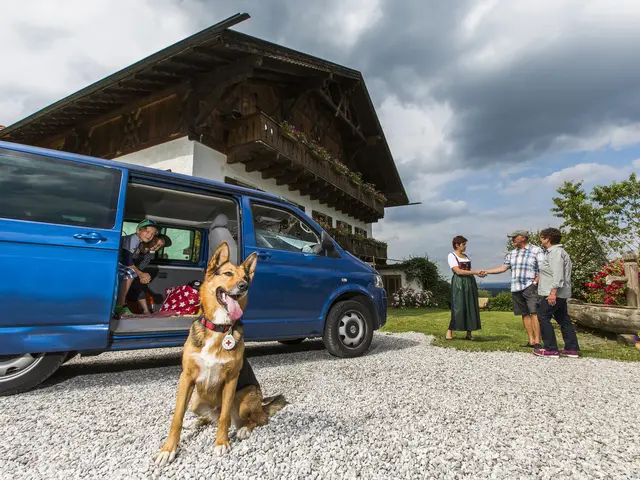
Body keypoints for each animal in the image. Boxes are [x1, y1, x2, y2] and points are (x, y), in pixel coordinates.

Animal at [155, 242, 284, 466]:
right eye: (228, 273)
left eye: (246, 277)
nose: (244, 286)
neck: (219, 328)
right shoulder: (186, 378)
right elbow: (177, 417)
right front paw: (168, 449)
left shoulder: (231, 380)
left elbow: (224, 418)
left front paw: (221, 443)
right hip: (196, 402)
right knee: (207, 417)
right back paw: (195, 422)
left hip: (244, 401)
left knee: (257, 419)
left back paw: (243, 429)